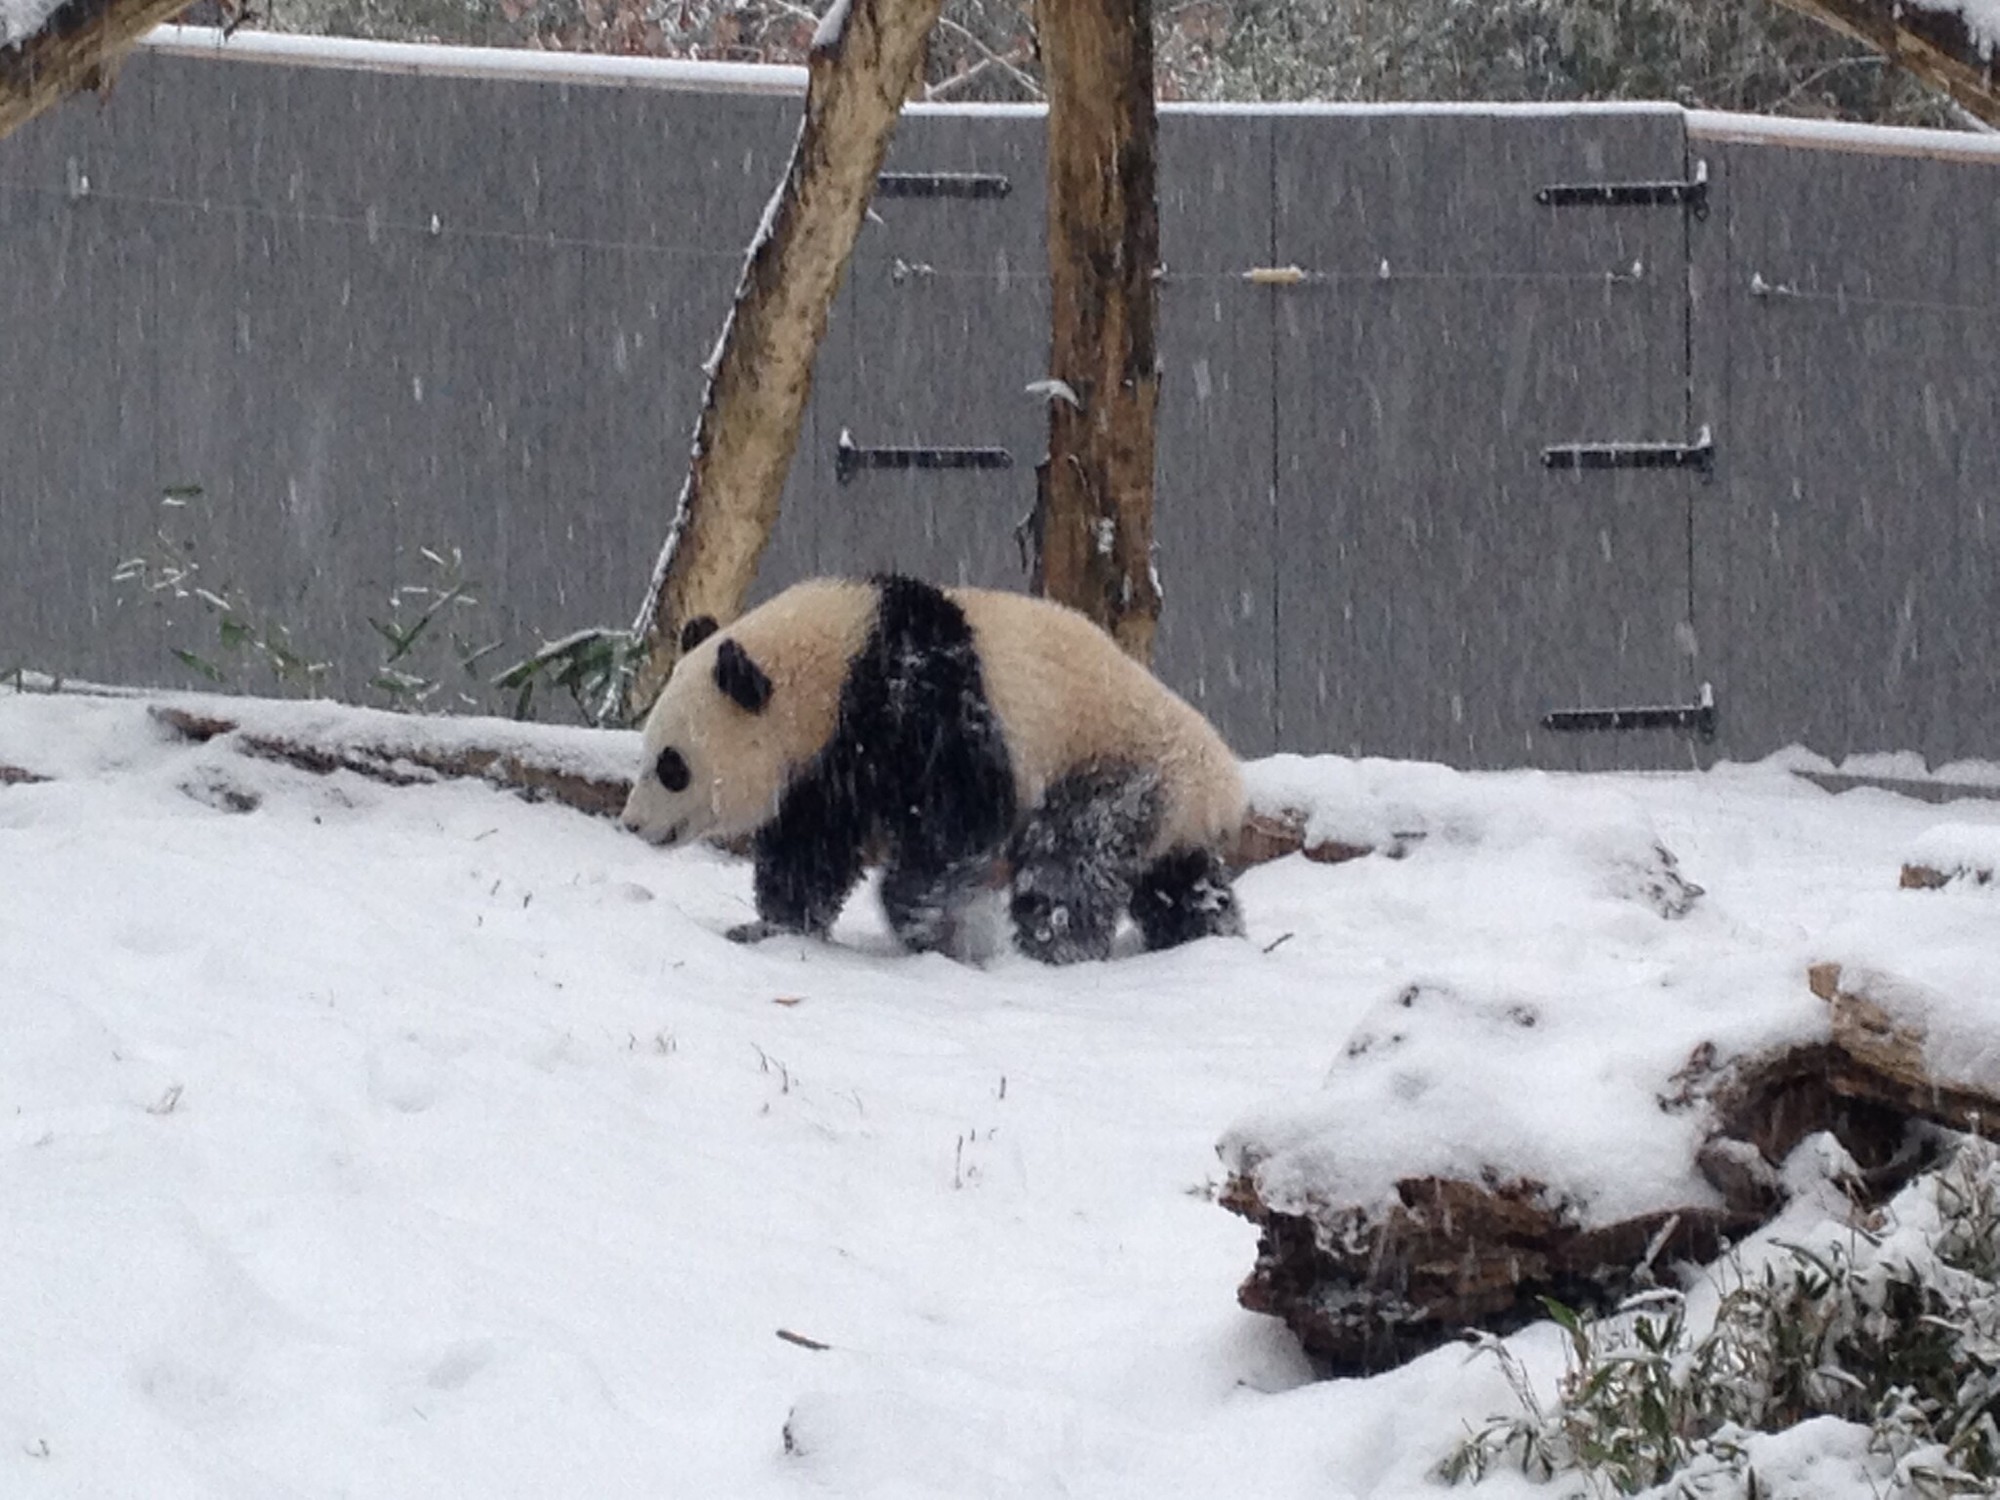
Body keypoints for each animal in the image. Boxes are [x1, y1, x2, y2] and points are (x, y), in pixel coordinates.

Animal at [616, 576, 1240, 964]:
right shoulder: (827, 767)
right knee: (1179, 884)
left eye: (672, 767)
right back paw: (1208, 937)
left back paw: (1055, 950)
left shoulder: (923, 700)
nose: (632, 825)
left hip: (1115, 767)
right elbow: (810, 847)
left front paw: (925, 922)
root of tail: (1222, 784)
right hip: (1165, 806)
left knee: (1070, 863)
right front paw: (772, 927)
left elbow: (961, 819)